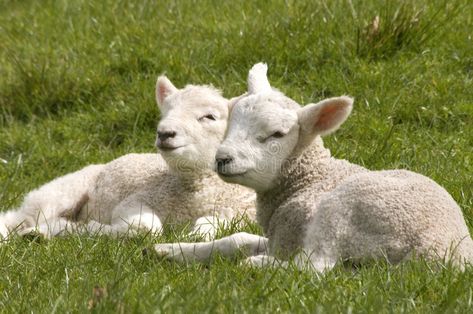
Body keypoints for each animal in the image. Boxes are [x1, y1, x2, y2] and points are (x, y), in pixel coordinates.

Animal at [0, 75, 254, 240]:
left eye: (209, 117)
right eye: (166, 112)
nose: (165, 133)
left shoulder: (242, 213)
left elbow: (214, 224)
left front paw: (198, 233)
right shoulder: (136, 200)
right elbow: (146, 228)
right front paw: (92, 229)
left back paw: (38, 234)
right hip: (60, 193)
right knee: (21, 217)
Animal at [156, 62, 472, 272]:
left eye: (277, 134)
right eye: (230, 120)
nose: (222, 158)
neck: (312, 176)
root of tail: (441, 253)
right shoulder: (283, 237)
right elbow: (237, 239)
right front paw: (173, 250)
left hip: (345, 209)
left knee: (316, 266)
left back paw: (258, 265)